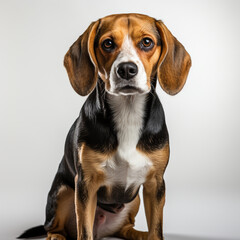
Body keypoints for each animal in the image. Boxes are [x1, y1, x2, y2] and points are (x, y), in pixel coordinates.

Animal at [17, 13, 191, 240]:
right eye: (107, 43)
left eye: (147, 42)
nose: (126, 69)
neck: (128, 111)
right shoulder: (86, 184)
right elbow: (84, 232)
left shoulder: (155, 184)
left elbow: (156, 229)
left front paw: (151, 234)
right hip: (64, 191)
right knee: (53, 227)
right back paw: (56, 236)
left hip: (133, 200)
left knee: (125, 228)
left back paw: (139, 234)